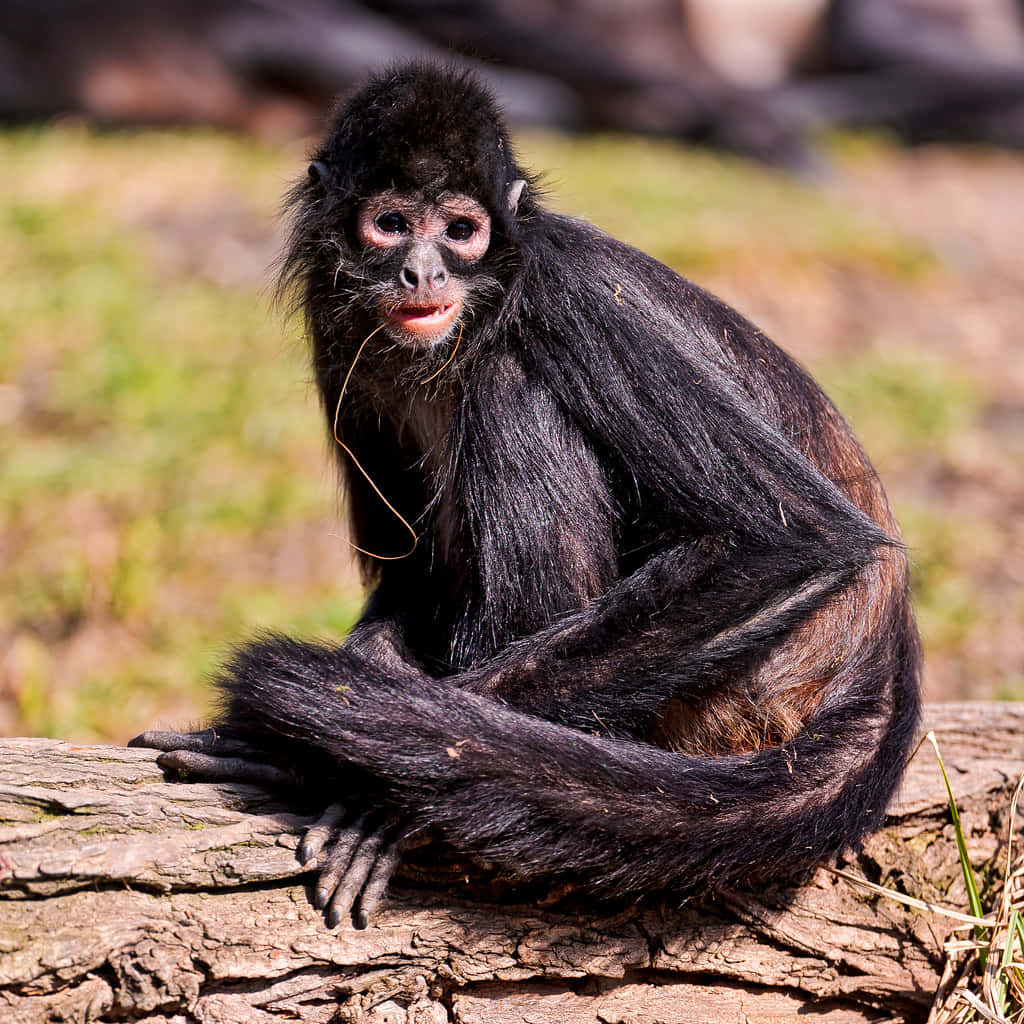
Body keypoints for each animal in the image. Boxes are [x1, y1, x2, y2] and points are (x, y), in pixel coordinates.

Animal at [130, 62, 921, 931]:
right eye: (391, 225)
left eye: (460, 231)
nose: (423, 271)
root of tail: (884, 636)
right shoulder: (333, 323)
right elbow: (407, 571)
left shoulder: (566, 284)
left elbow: (795, 541)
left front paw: (308, 756)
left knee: (510, 378)